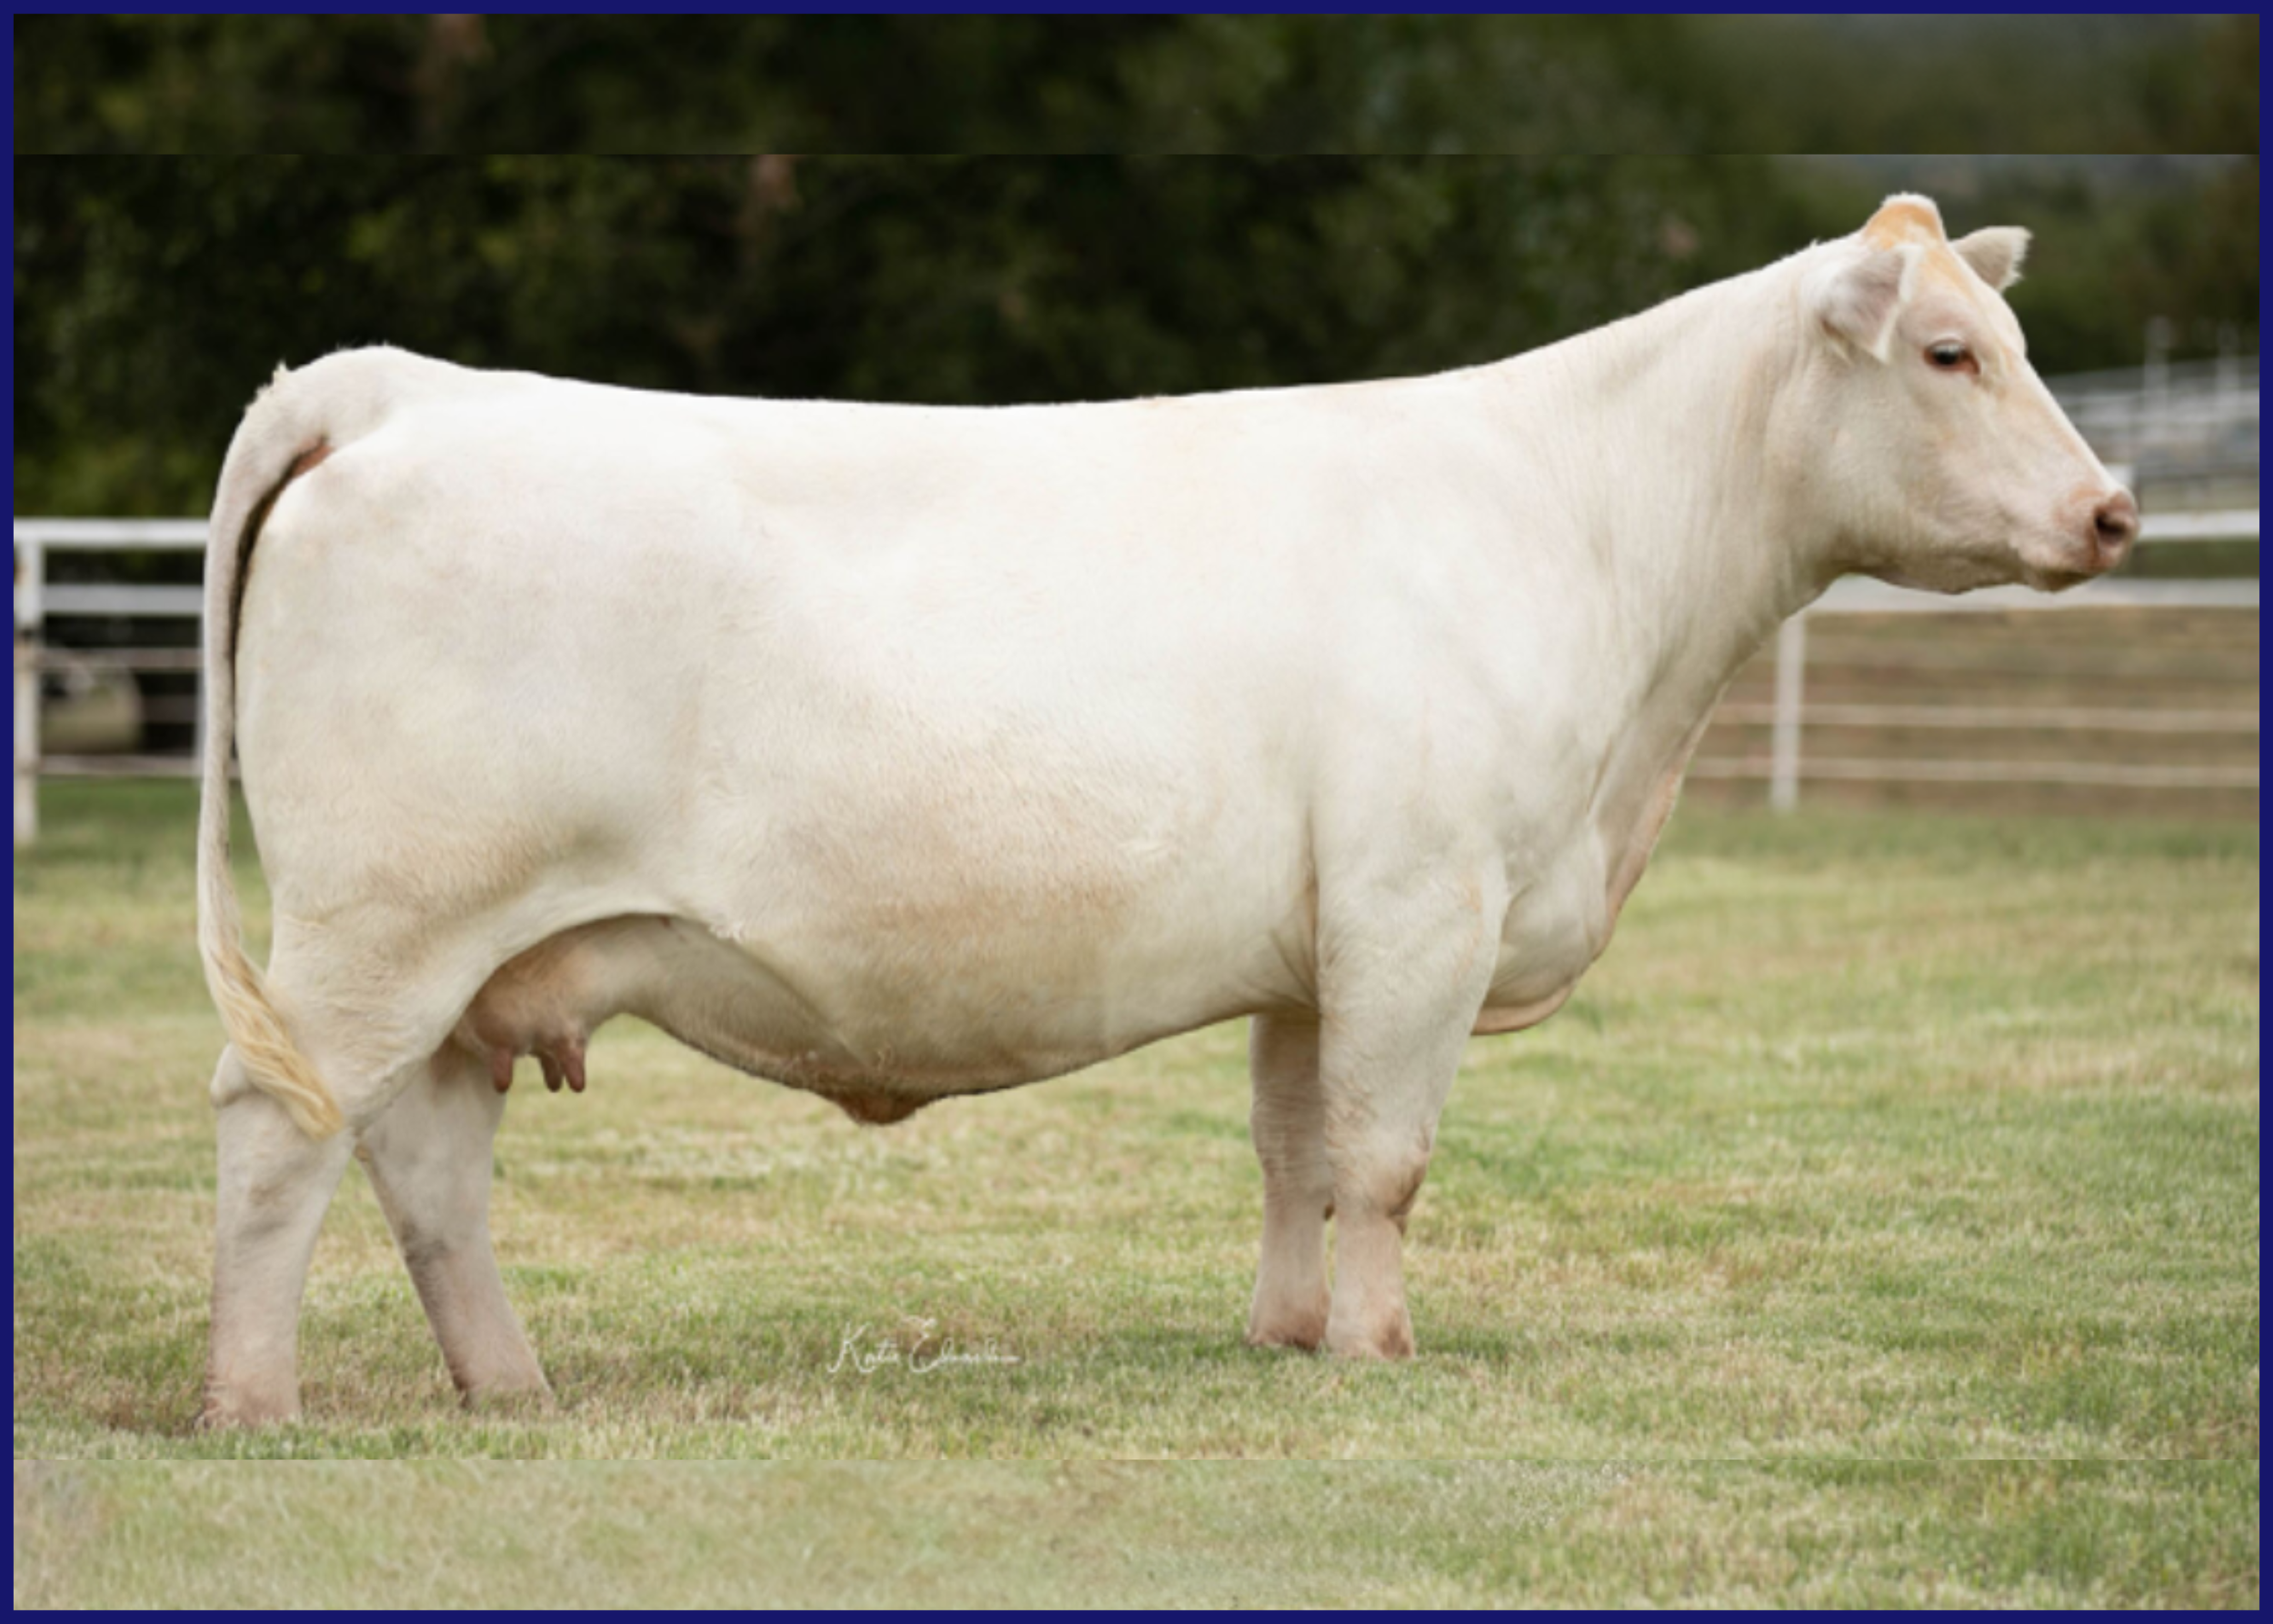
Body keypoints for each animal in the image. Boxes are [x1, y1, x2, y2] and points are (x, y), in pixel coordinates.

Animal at [195, 195, 2136, 1424]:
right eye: (1949, 353)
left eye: (2016, 338)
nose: (2114, 510)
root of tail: (398, 383)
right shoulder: (1426, 909)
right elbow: (1386, 1157)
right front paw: (1377, 1353)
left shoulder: (1317, 945)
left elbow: (1295, 1148)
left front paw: (1287, 1335)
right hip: (377, 931)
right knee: (283, 1133)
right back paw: (255, 1403)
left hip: (463, 961)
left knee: (429, 1166)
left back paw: (509, 1388)